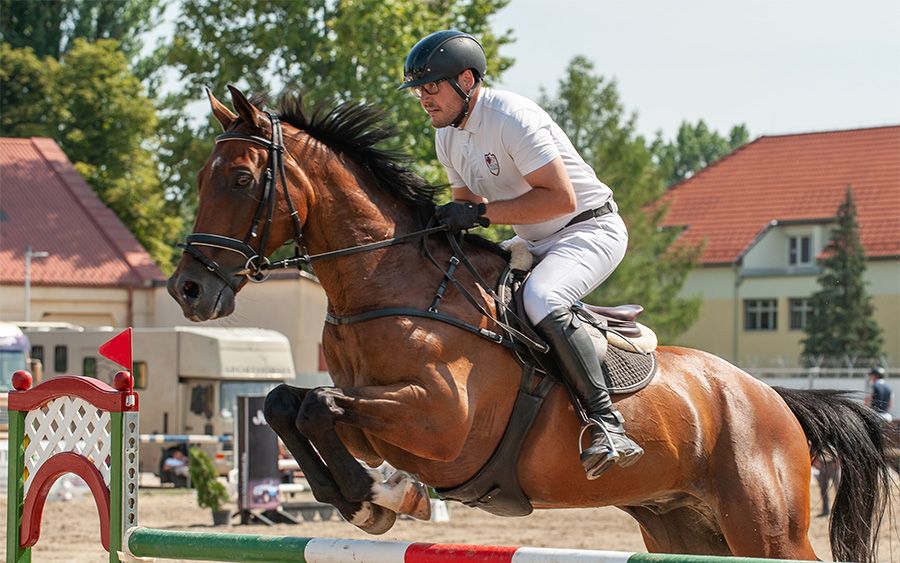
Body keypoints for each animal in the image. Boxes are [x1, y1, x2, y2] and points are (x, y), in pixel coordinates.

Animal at [169, 85, 892, 563]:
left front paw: (373, 495)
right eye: (201, 176)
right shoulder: (376, 413)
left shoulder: (441, 423)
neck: (387, 288)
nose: (188, 289)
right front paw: (374, 497)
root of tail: (775, 398)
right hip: (684, 525)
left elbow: (318, 406)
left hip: (768, 528)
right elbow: (288, 403)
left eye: (240, 178)